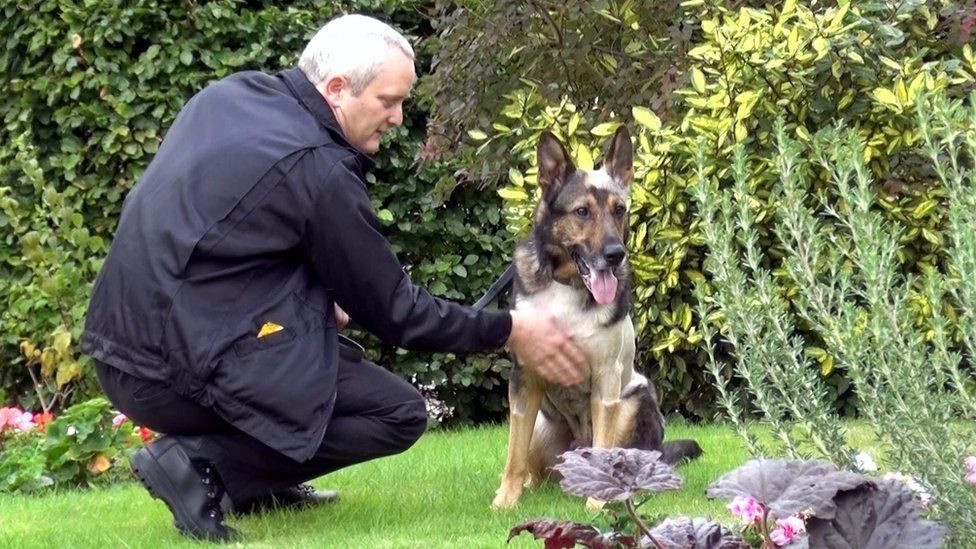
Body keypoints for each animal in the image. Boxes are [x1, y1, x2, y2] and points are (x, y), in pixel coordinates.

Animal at [496, 125, 700, 510]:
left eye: (619, 210)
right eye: (581, 212)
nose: (615, 254)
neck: (568, 287)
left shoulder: (607, 379)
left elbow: (606, 450)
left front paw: (598, 506)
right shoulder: (524, 380)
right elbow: (513, 454)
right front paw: (505, 502)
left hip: (635, 400)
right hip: (542, 423)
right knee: (530, 463)